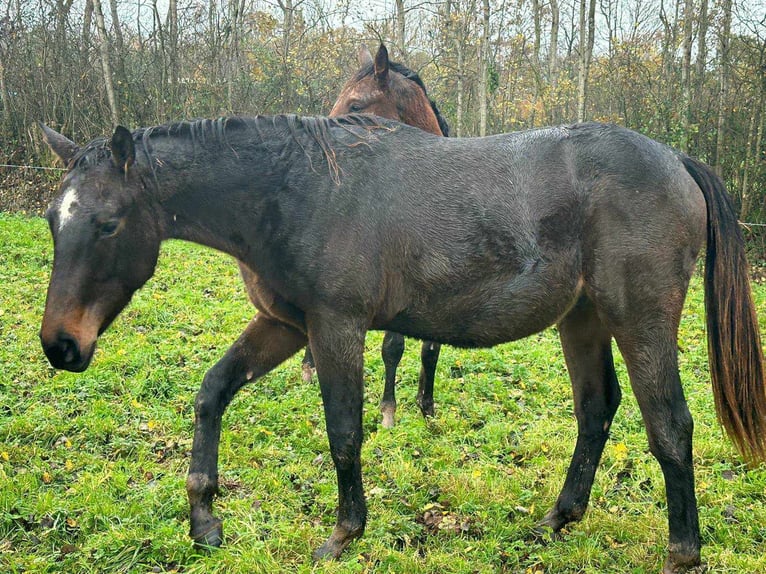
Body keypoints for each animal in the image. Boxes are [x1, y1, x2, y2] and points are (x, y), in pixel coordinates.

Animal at [37, 115, 766, 572]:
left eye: (108, 224)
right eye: (52, 218)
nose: (60, 346)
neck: (300, 189)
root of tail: (675, 162)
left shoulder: (335, 327)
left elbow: (343, 431)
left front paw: (342, 535)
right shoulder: (285, 326)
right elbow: (212, 391)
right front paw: (204, 520)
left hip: (640, 321)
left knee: (669, 425)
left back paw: (681, 554)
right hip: (582, 319)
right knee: (596, 410)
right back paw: (556, 522)